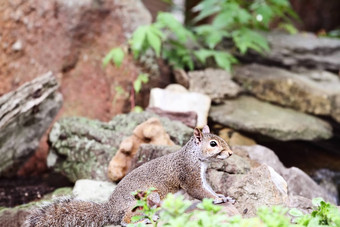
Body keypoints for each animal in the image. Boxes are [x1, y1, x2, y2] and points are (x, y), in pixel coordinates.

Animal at [25, 125, 234, 226]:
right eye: (213, 144)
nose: (231, 153)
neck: (195, 156)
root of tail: (110, 210)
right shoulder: (189, 175)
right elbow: (199, 192)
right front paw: (219, 199)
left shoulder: (201, 176)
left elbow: (207, 189)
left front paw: (222, 196)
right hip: (143, 199)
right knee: (123, 221)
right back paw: (141, 221)